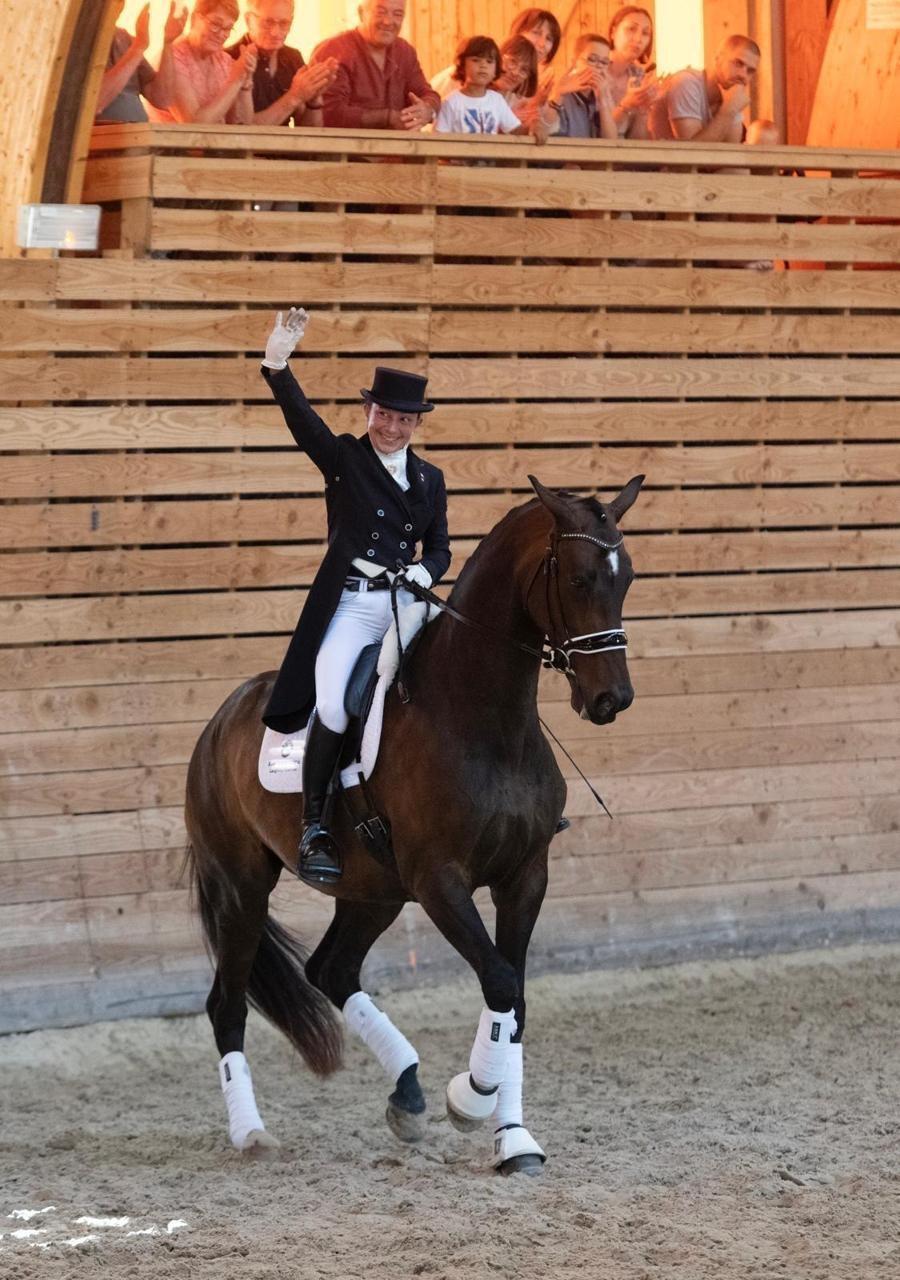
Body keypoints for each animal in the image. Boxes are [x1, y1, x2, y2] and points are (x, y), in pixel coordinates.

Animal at [186, 476, 645, 1172]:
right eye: (579, 577)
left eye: (627, 578)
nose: (611, 700)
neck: (482, 719)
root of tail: (222, 717)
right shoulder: (439, 881)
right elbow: (500, 981)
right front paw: (472, 1098)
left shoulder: (525, 876)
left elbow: (514, 996)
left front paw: (513, 1138)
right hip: (241, 889)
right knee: (228, 1004)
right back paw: (252, 1134)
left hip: (373, 891)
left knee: (331, 970)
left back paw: (406, 1092)